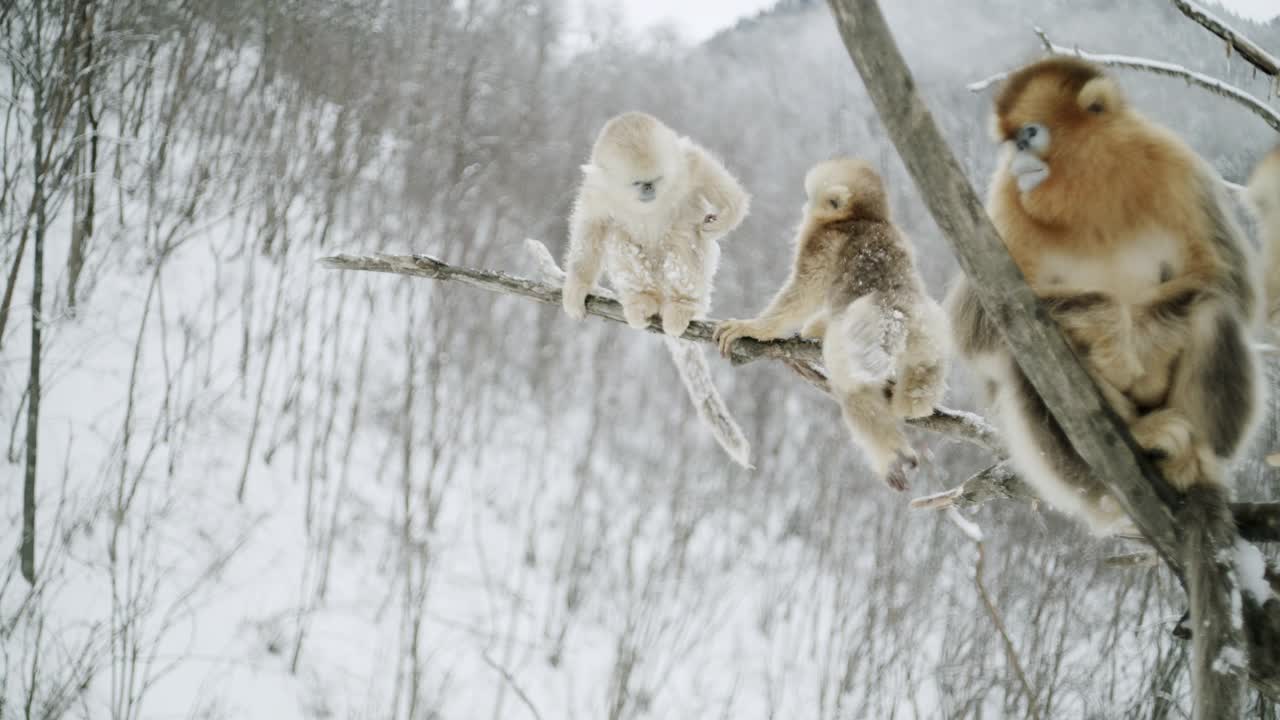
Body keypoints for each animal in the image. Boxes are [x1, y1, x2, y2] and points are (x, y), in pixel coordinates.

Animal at [947, 57, 1264, 532]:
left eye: (1029, 134)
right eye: (1008, 142)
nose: (1016, 157)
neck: (1089, 193)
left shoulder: (1176, 167)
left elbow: (1228, 282)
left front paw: (1142, 352)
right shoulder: (1007, 198)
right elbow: (974, 319)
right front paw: (1114, 335)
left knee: (1212, 310)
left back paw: (1195, 470)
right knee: (1023, 353)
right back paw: (1129, 456)